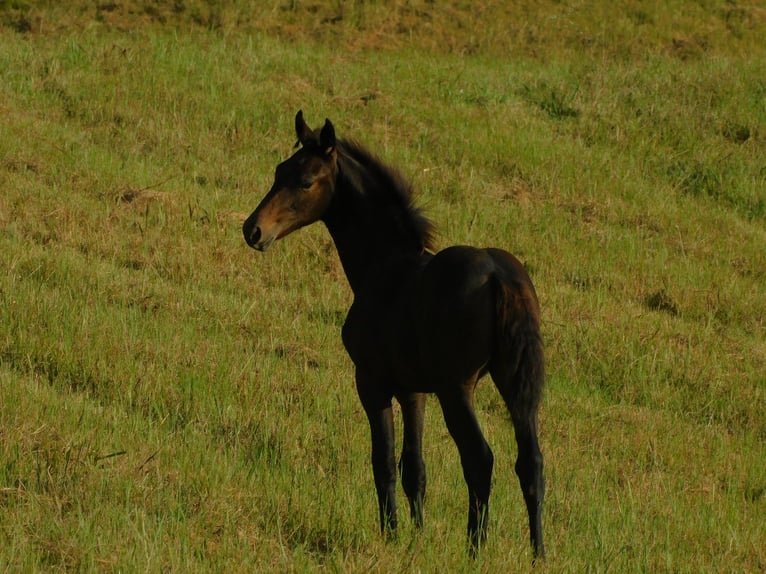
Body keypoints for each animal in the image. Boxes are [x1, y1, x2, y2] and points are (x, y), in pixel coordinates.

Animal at [242, 111, 545, 559]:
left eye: (306, 181)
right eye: (280, 170)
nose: (253, 230)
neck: (384, 264)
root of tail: (500, 278)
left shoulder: (372, 382)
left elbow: (383, 461)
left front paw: (391, 534)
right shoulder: (414, 391)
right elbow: (414, 468)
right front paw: (416, 536)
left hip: (457, 388)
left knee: (480, 459)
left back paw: (474, 548)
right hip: (515, 384)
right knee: (531, 464)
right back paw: (538, 553)